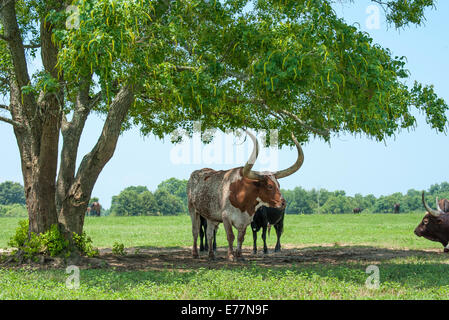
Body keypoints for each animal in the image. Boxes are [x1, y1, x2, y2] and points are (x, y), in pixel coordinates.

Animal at [187, 131, 302, 262]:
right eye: (269, 186)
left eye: (278, 184)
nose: (283, 203)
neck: (243, 198)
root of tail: (196, 173)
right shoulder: (226, 217)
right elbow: (230, 236)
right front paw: (231, 256)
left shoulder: (246, 220)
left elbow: (240, 237)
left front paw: (240, 255)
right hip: (193, 210)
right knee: (195, 231)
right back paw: (195, 253)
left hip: (210, 216)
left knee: (209, 233)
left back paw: (211, 255)